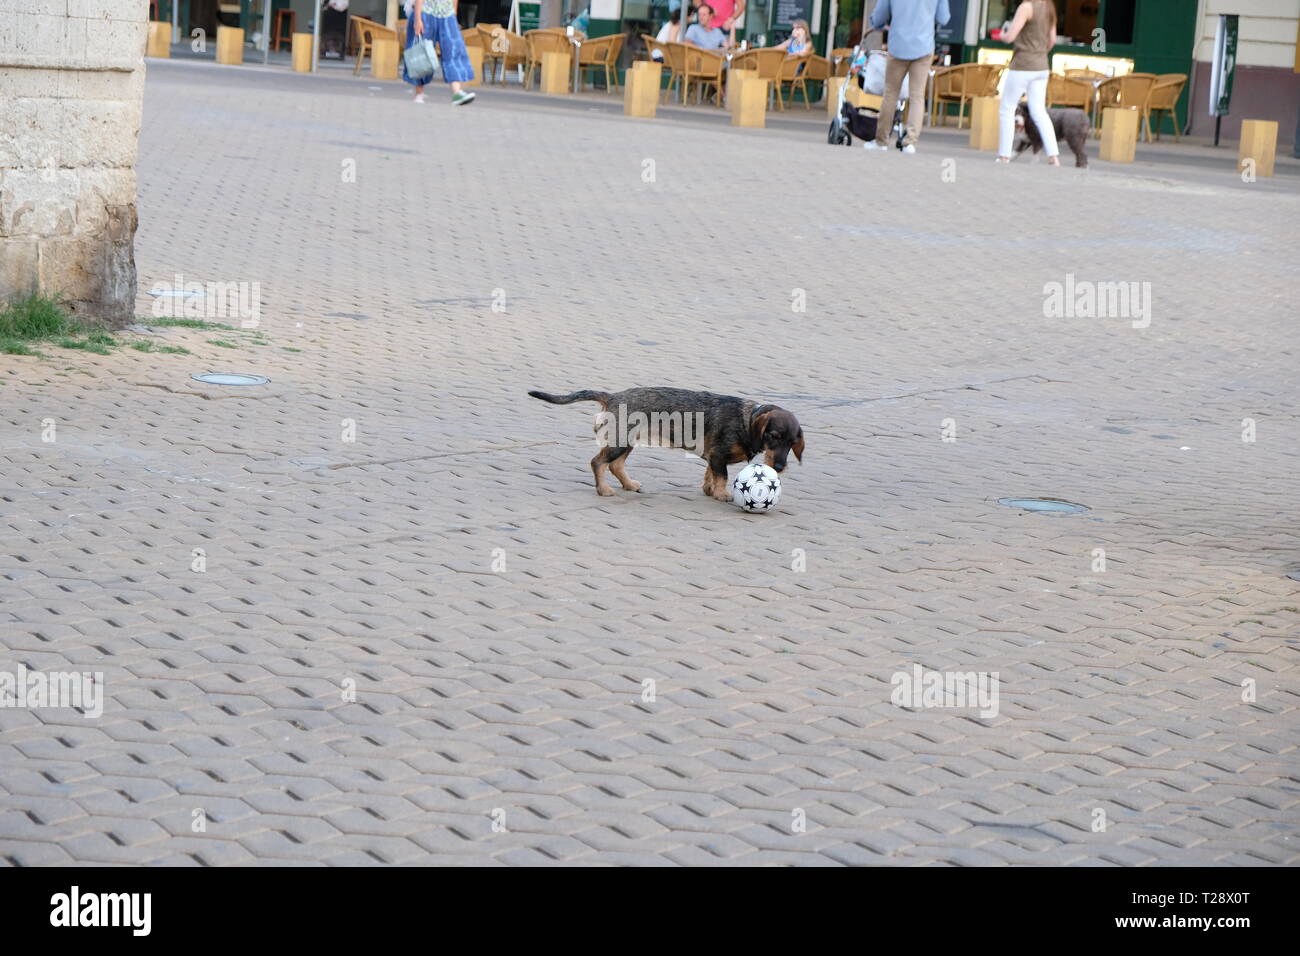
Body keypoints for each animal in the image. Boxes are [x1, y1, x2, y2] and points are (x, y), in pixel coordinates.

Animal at [527, 385, 800, 502]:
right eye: (774, 436)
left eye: (792, 442)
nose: (780, 467)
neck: (747, 418)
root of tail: (613, 396)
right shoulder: (718, 456)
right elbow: (721, 476)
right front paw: (721, 494)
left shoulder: (713, 457)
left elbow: (709, 475)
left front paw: (709, 489)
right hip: (619, 442)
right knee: (598, 462)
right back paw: (603, 490)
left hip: (627, 442)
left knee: (615, 465)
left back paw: (629, 484)